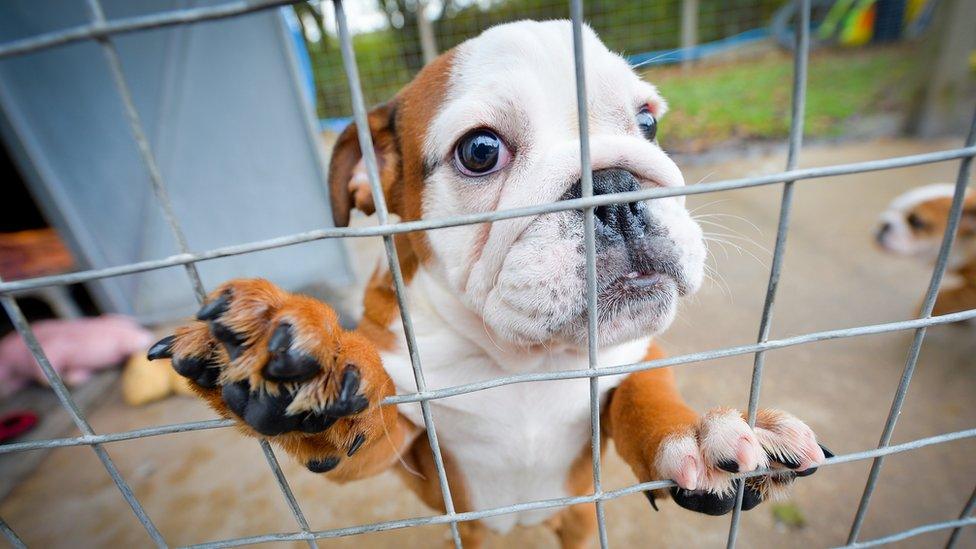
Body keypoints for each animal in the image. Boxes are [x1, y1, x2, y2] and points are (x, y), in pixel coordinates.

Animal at [149, 19, 828, 544]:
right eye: (480, 151)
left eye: (647, 124)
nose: (613, 185)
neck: (519, 362)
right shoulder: (403, 445)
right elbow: (360, 425)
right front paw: (315, 357)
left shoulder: (636, 356)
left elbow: (644, 398)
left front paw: (700, 434)